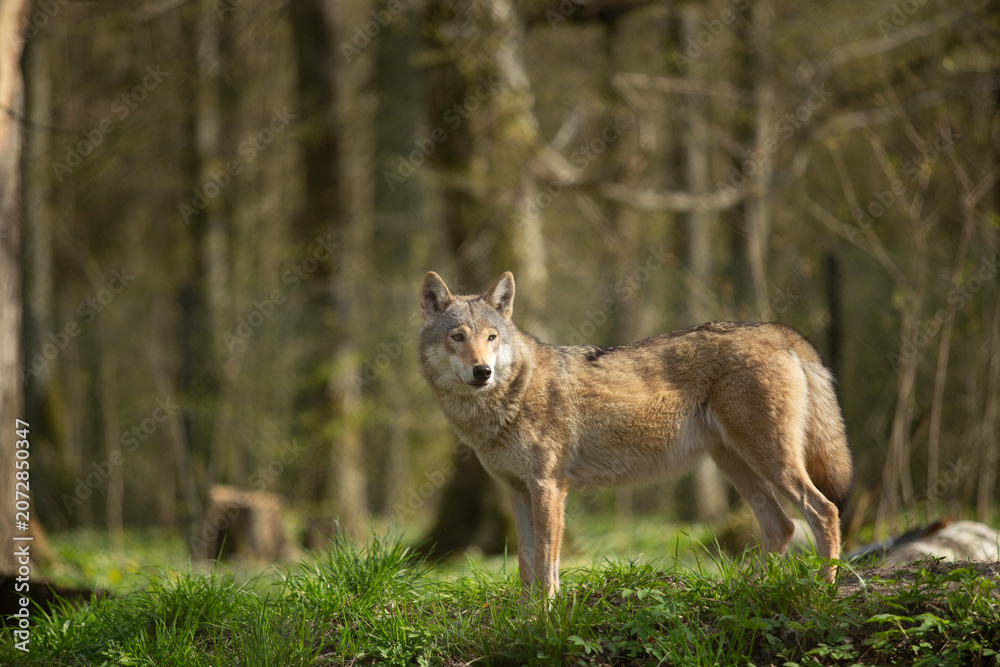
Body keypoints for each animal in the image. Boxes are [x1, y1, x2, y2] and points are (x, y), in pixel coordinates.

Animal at [418, 271, 853, 598]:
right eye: (458, 337)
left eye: (491, 337)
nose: (482, 371)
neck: (512, 396)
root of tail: (777, 330)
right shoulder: (518, 490)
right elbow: (526, 564)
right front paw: (524, 618)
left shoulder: (549, 488)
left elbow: (545, 562)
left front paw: (546, 616)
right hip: (736, 465)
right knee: (782, 526)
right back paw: (748, 590)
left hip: (770, 461)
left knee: (824, 511)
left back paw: (823, 590)